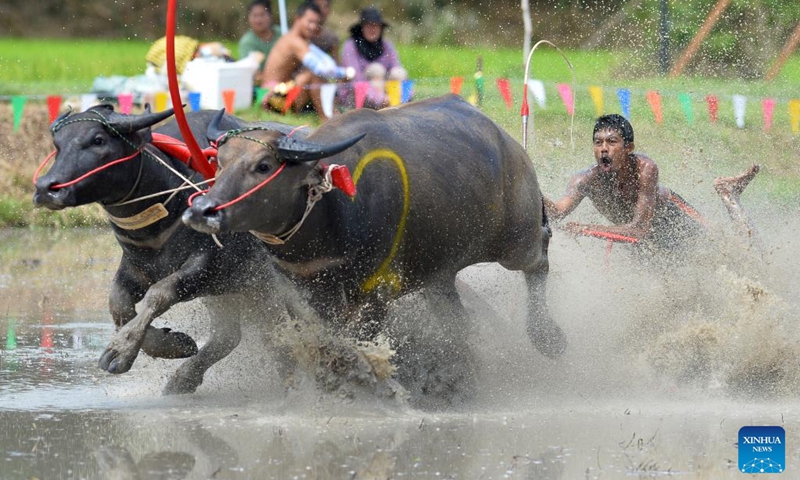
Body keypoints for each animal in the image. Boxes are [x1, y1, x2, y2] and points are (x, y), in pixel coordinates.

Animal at [33, 105, 307, 394]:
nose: (46, 188)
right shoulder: (136, 267)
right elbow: (119, 304)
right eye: (57, 144)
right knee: (232, 336)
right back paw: (183, 380)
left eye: (98, 139)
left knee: (279, 333)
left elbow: (159, 294)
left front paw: (120, 352)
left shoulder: (208, 268)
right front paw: (172, 345)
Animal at [183, 94, 567, 402]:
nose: (202, 210)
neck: (329, 210)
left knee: (540, 255)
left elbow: (356, 340)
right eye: (219, 162)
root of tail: (507, 142)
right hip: (439, 272)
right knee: (455, 318)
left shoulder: (376, 292)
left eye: (264, 166)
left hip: (514, 239)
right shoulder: (304, 290)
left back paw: (549, 338)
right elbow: (325, 340)